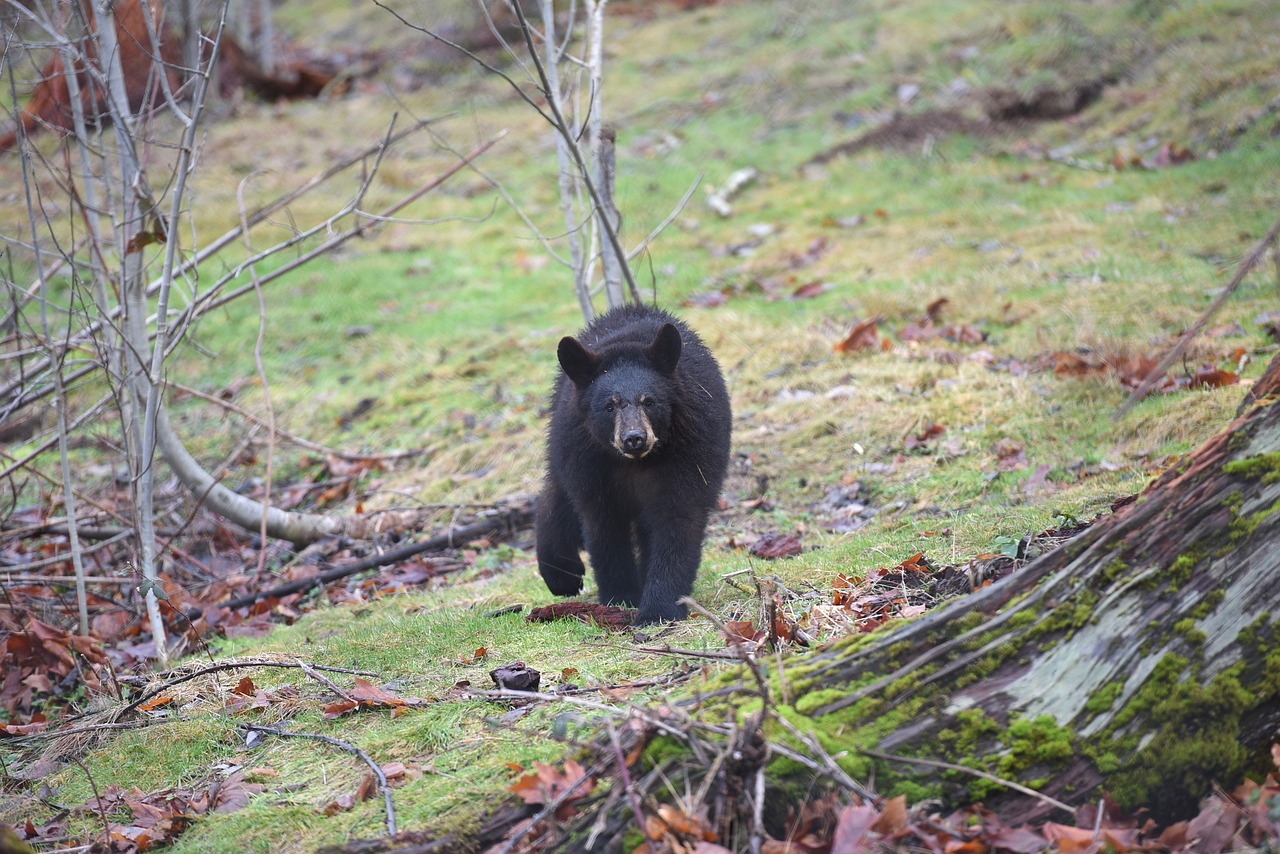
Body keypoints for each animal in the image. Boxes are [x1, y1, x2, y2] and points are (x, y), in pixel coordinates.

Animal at [536, 304, 732, 624]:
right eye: (609, 406)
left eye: (649, 401)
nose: (634, 438)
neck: (636, 464)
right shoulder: (589, 461)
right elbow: (603, 525)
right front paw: (620, 597)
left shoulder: (691, 450)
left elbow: (677, 520)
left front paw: (658, 609)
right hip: (564, 437)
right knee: (557, 492)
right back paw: (561, 573)